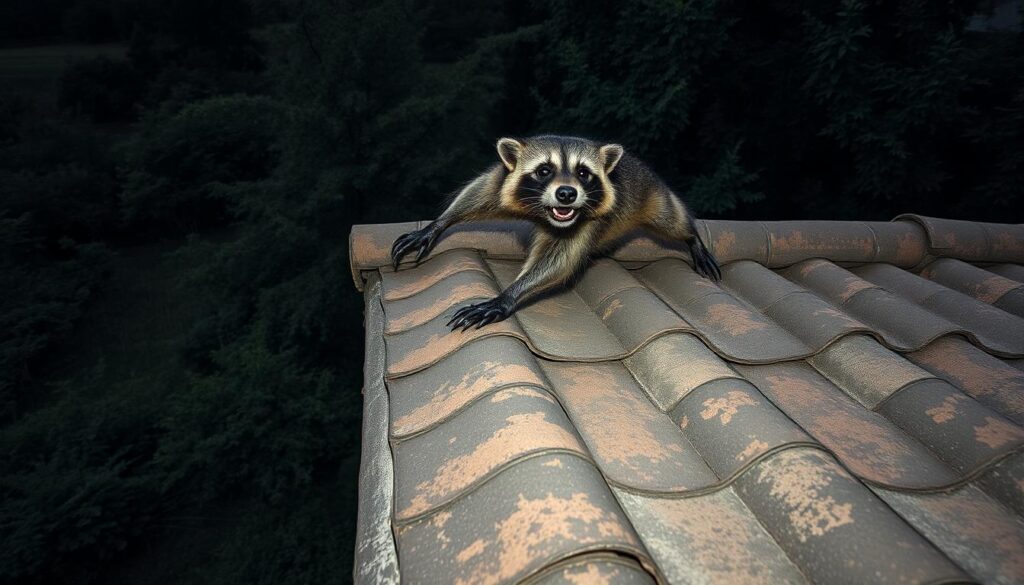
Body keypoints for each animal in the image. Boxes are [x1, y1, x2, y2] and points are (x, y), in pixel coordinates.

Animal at [391, 135, 721, 330]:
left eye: (583, 173)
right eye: (544, 170)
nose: (566, 194)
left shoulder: (591, 219)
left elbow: (559, 261)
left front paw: (508, 294)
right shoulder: (505, 180)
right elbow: (480, 192)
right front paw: (439, 223)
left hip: (651, 194)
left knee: (671, 218)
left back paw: (692, 237)